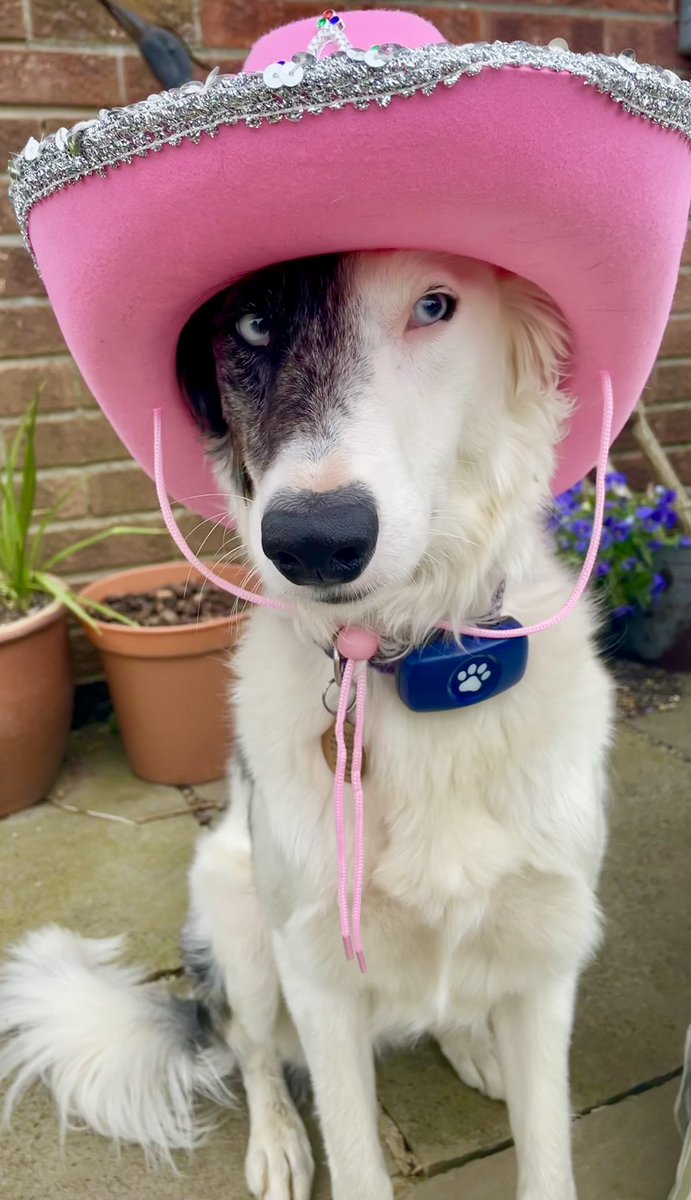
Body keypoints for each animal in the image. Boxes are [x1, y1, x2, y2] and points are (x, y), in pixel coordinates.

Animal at [0, 246, 614, 1200]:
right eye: (252, 323)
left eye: (433, 305)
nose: (314, 542)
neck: (403, 658)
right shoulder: (318, 974)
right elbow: (353, 1155)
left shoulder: (548, 955)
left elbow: (546, 1154)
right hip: (238, 921)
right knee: (251, 1049)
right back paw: (277, 1143)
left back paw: (471, 1044)